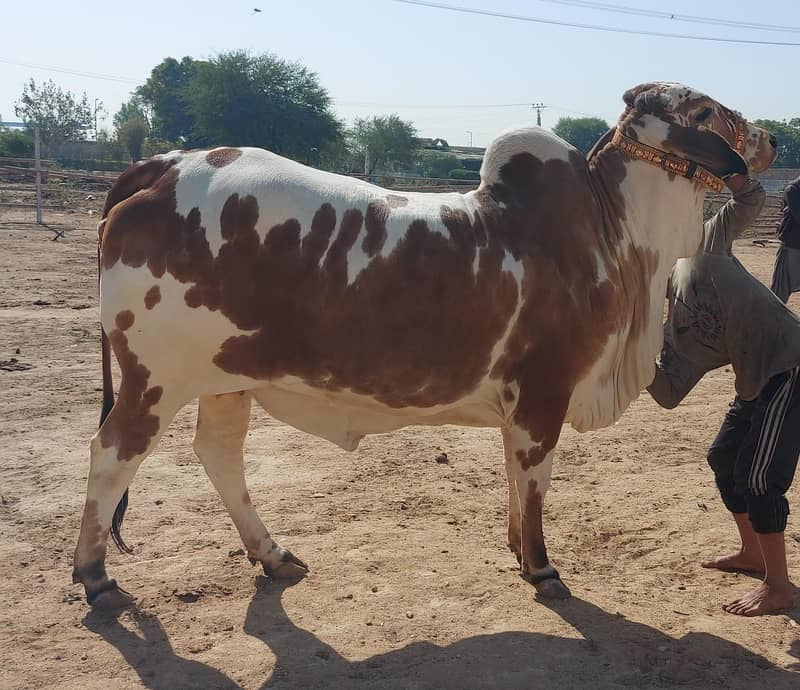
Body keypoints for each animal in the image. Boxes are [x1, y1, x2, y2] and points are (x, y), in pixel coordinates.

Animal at [73, 82, 776, 608]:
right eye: (706, 110)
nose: (770, 138)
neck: (615, 232)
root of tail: (163, 165)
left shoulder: (519, 405)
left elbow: (515, 479)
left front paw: (517, 549)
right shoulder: (544, 394)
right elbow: (537, 481)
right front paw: (541, 567)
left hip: (225, 379)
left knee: (219, 457)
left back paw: (272, 555)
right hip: (156, 380)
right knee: (111, 456)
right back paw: (94, 575)